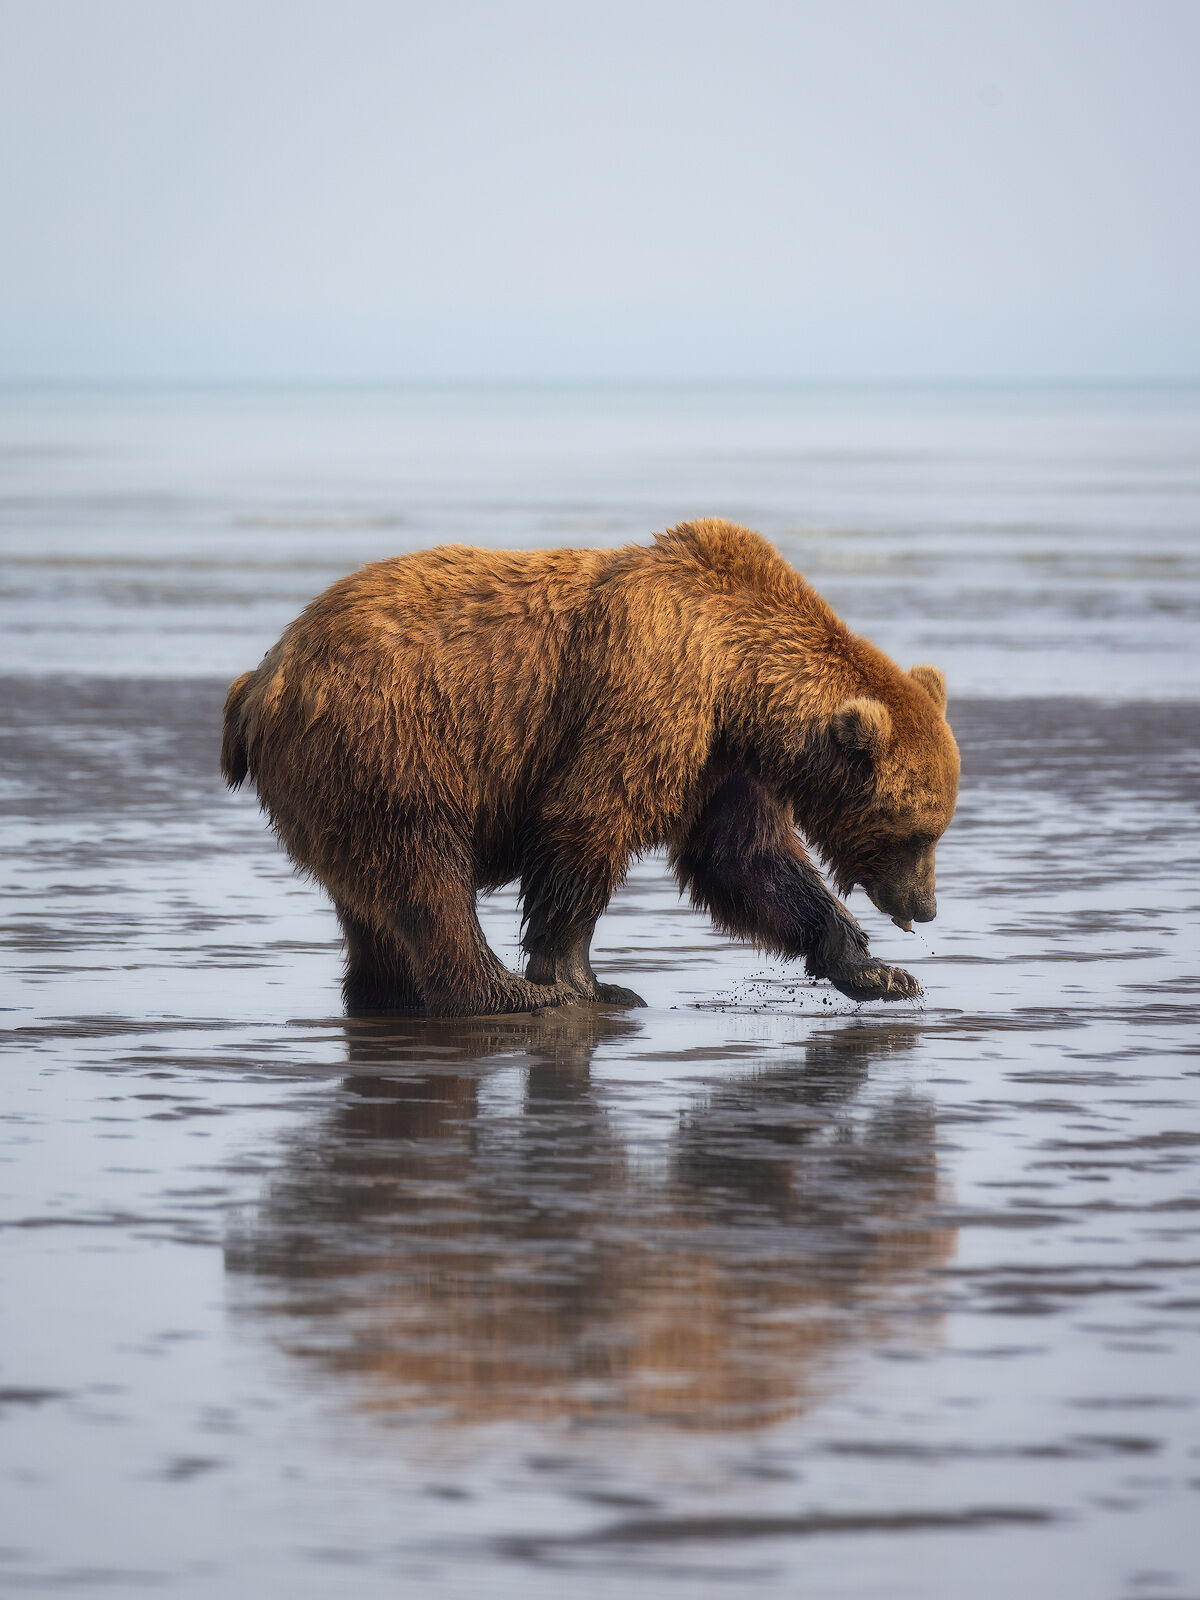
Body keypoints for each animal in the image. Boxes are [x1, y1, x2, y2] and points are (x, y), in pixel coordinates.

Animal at [221, 519, 959, 1017]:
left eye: (938, 829)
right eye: (917, 832)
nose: (924, 906)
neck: (741, 676)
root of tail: (263, 676)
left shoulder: (721, 758)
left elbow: (747, 860)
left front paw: (877, 970)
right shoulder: (648, 693)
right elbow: (589, 819)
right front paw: (588, 982)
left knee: (371, 902)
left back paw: (388, 994)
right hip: (391, 738)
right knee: (423, 867)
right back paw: (504, 991)